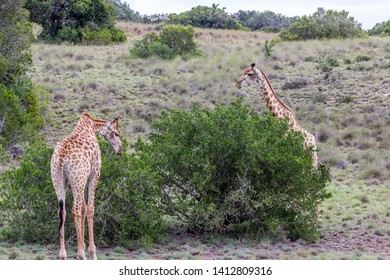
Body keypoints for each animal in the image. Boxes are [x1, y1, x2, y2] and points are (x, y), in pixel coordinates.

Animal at [50, 112, 122, 260]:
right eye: (117, 133)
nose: (120, 150)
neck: (92, 127)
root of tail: (61, 158)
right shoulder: (94, 174)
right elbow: (90, 209)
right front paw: (91, 252)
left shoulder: (82, 180)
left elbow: (84, 208)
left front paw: (82, 246)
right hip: (77, 179)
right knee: (75, 210)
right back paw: (81, 255)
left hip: (60, 181)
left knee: (62, 211)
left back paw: (63, 254)